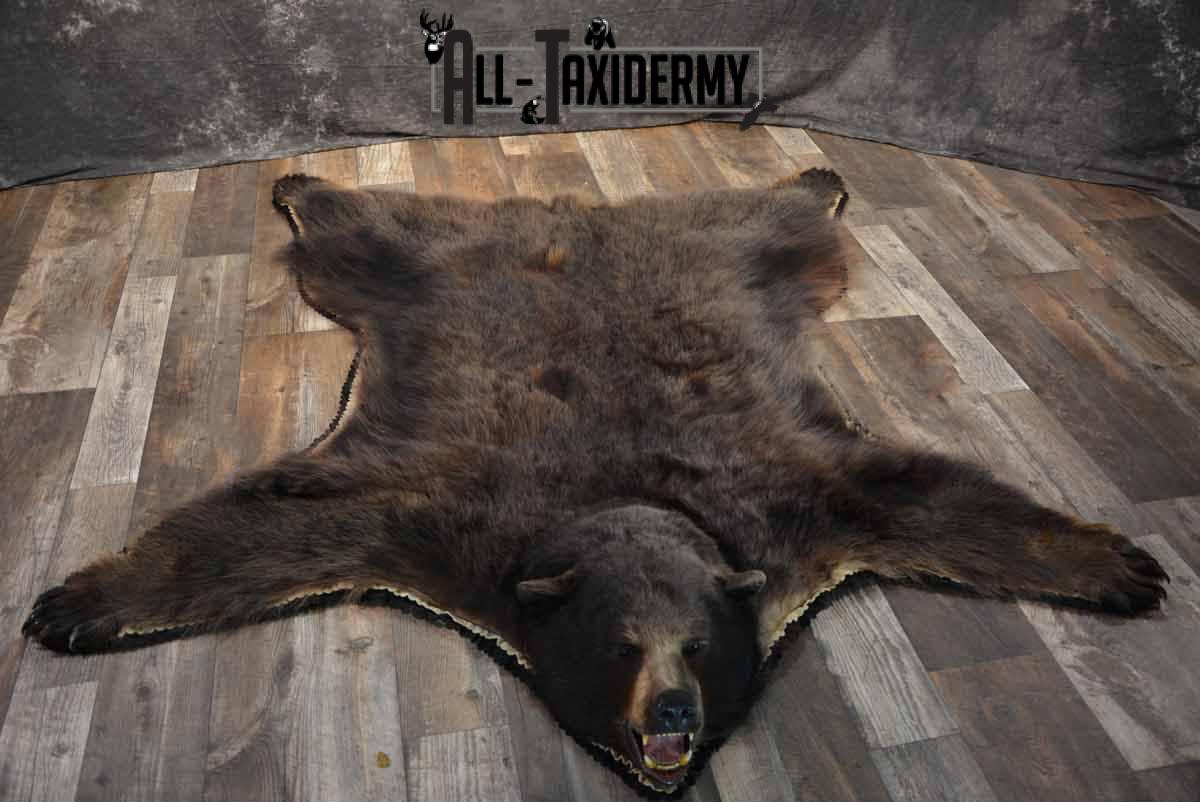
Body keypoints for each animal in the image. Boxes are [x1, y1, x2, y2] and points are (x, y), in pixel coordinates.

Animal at [23, 167, 1168, 795]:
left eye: (700, 646)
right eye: (621, 645)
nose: (673, 718)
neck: (623, 506)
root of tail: (568, 209)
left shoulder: (793, 495)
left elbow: (927, 494)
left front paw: (1122, 563)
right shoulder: (431, 509)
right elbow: (266, 528)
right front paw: (73, 600)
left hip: (743, 256)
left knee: (785, 217)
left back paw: (812, 173)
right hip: (405, 266)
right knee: (358, 226)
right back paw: (302, 183)